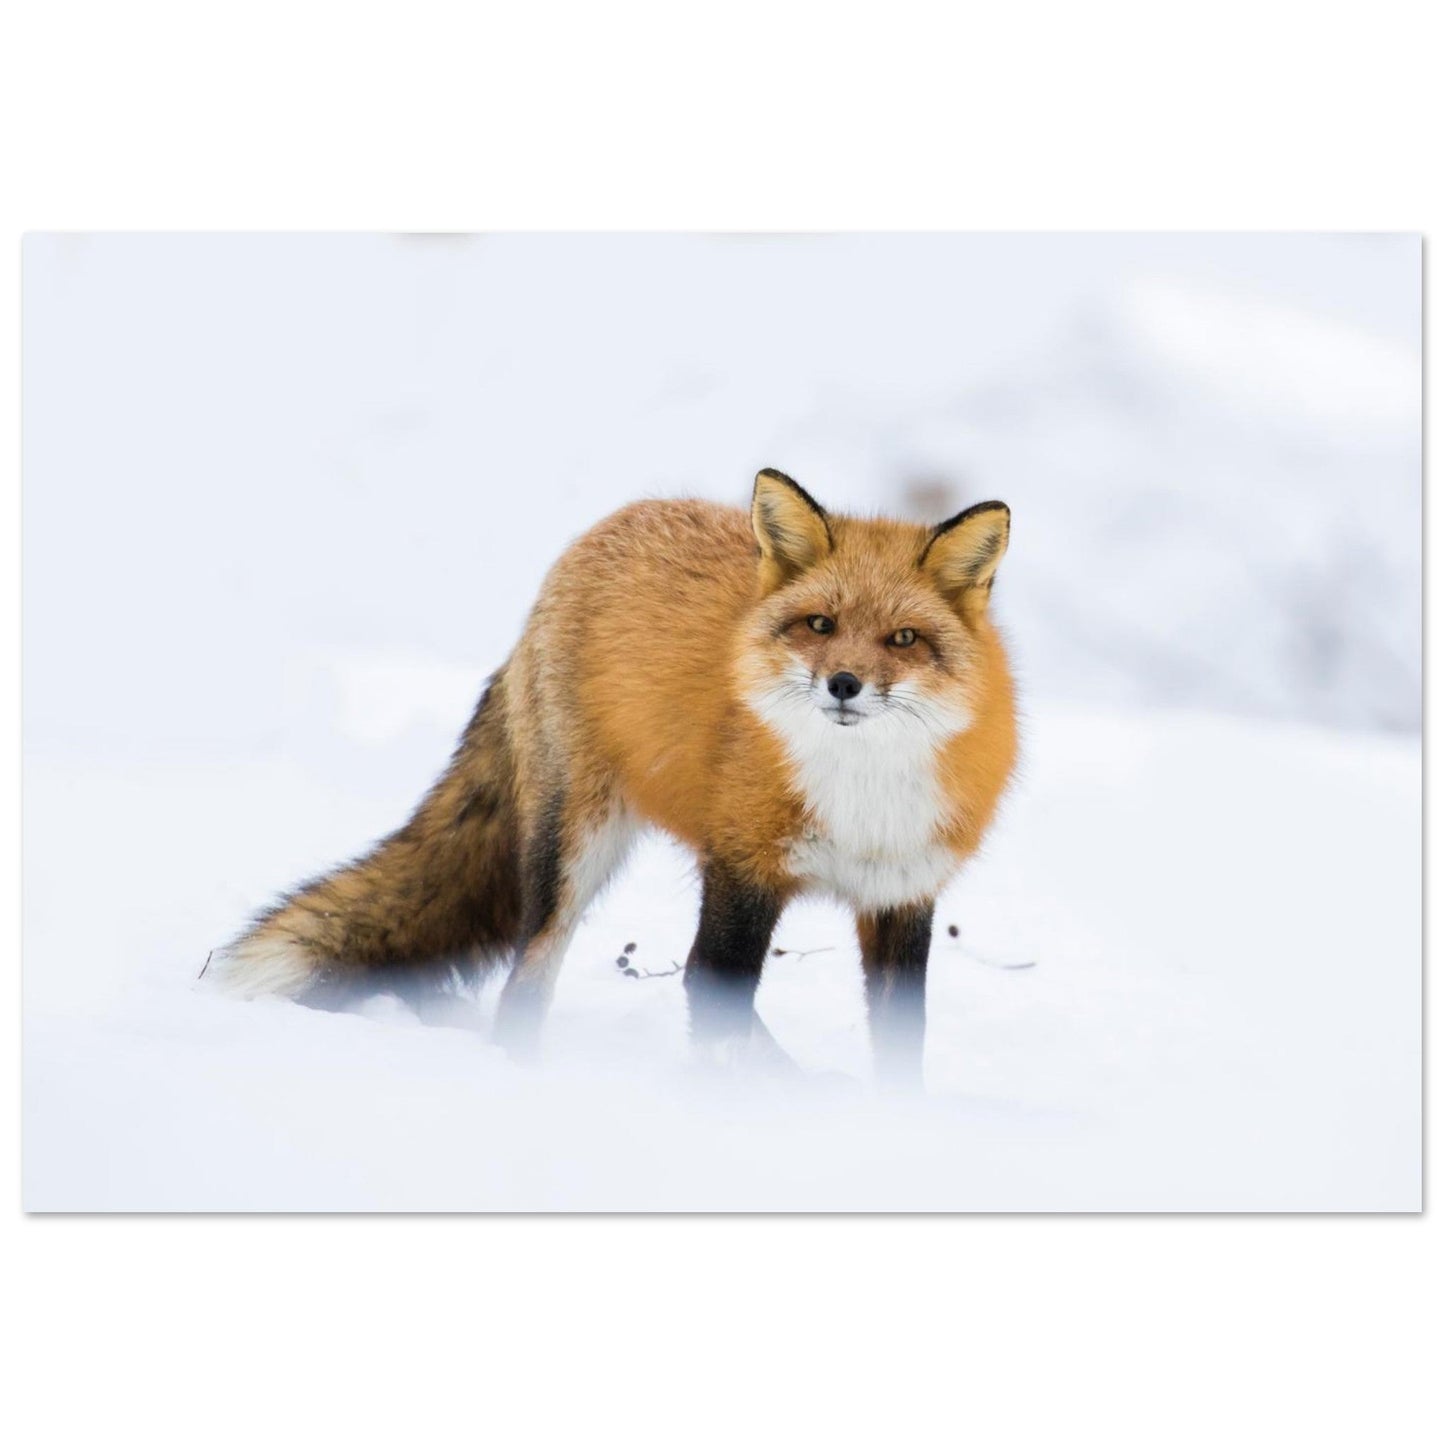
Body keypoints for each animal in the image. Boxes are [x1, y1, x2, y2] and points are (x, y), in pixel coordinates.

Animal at [216, 469, 1017, 1082]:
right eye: (820, 625)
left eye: (903, 638)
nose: (844, 684)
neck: (860, 797)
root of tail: (606, 526)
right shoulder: (741, 872)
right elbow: (713, 998)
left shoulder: (902, 893)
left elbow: (899, 1048)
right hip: (573, 851)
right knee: (532, 977)